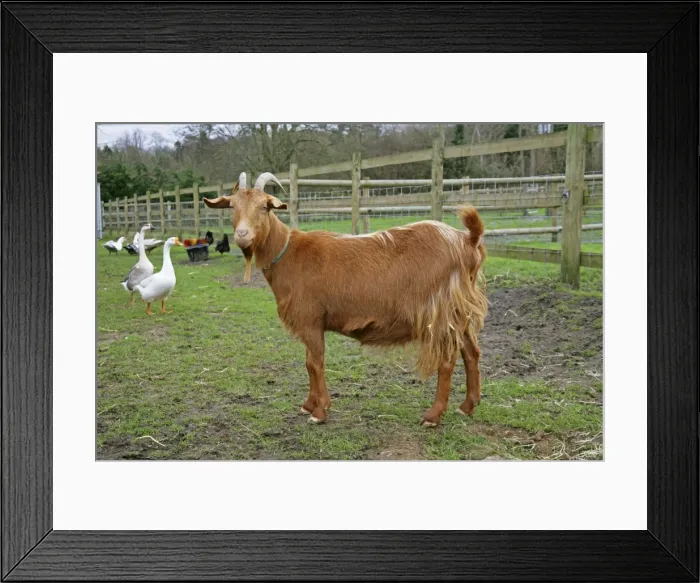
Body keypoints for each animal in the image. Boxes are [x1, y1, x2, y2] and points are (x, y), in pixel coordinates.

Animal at [204, 172, 488, 427]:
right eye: (232, 206)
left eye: (264, 207)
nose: (242, 235)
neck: (288, 253)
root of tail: (466, 240)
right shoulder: (310, 324)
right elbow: (308, 363)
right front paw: (309, 405)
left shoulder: (311, 319)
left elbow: (315, 363)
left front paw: (320, 411)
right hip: (458, 312)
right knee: (471, 351)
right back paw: (468, 406)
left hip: (439, 313)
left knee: (447, 360)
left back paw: (433, 415)